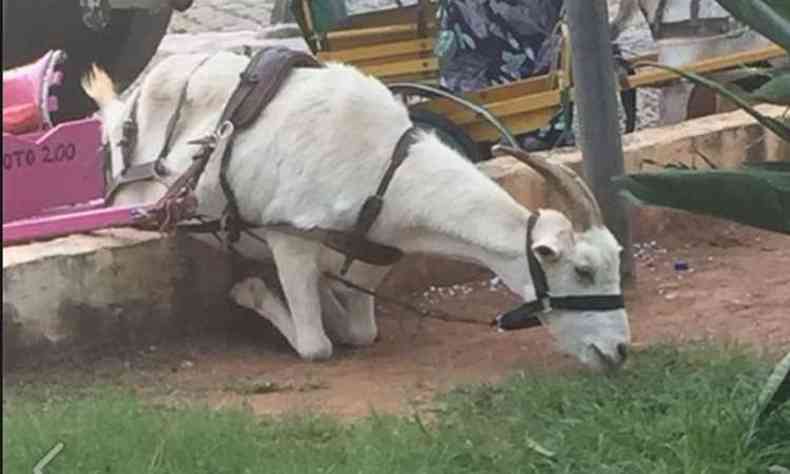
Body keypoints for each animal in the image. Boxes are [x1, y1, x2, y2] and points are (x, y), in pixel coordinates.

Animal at [83, 52, 636, 370]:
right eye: (582, 270)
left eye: (615, 262)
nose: (618, 352)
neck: (384, 169)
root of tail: (126, 102)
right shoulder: (290, 240)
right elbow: (316, 346)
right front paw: (250, 291)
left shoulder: (372, 257)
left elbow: (362, 332)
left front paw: (330, 305)